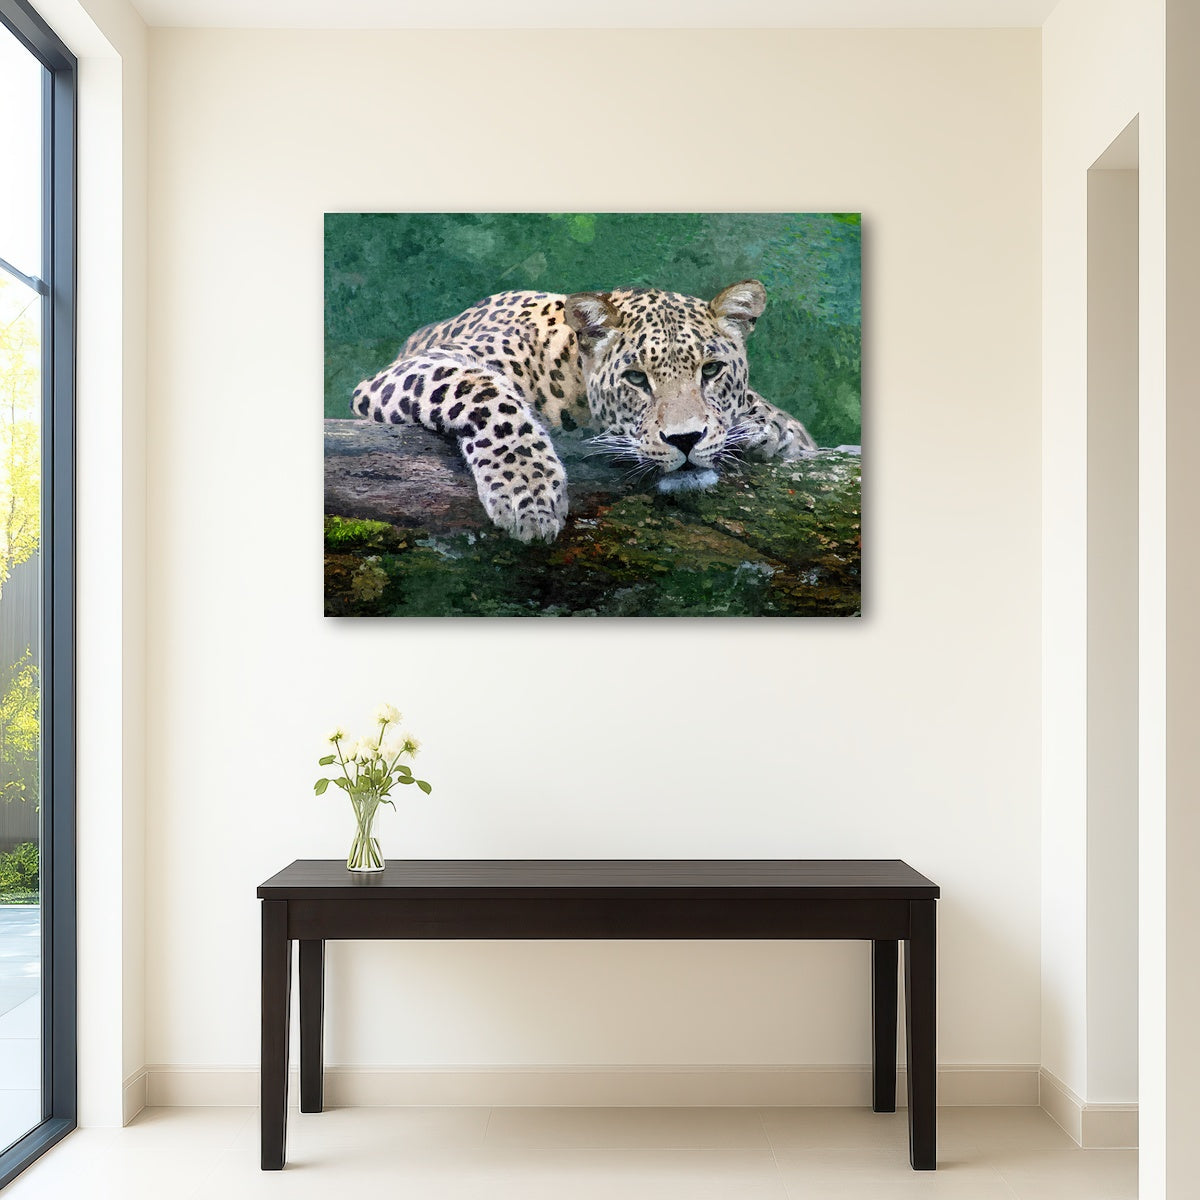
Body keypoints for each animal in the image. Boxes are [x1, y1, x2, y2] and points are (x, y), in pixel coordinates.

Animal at [351, 279, 817, 543]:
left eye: (712, 370)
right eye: (635, 378)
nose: (685, 440)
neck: (569, 376)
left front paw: (770, 429)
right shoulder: (416, 368)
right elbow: (487, 394)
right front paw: (529, 495)